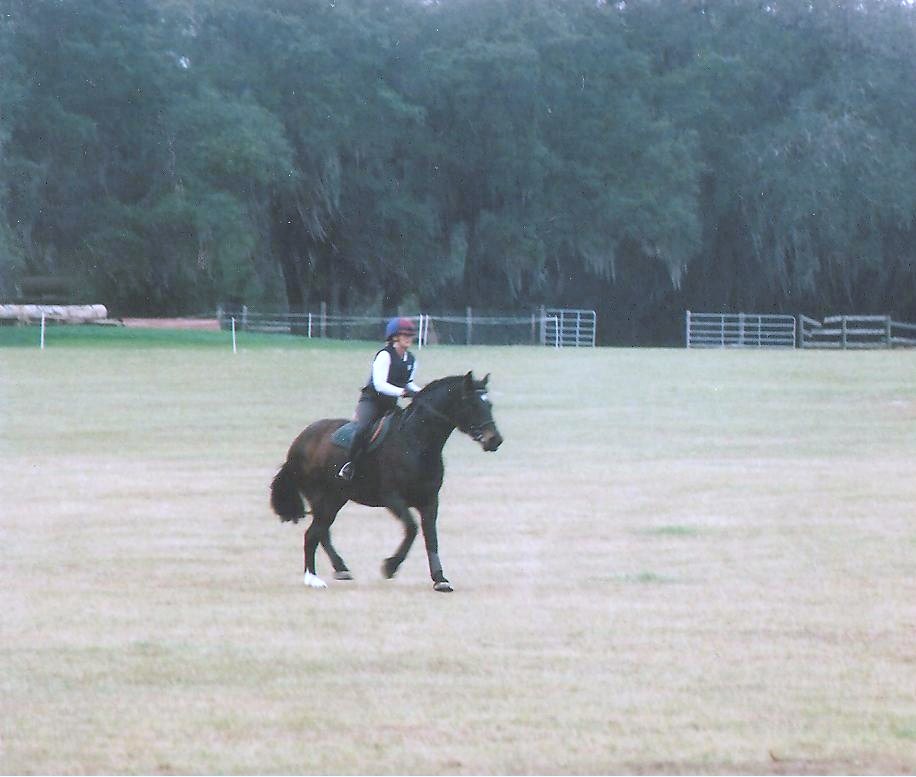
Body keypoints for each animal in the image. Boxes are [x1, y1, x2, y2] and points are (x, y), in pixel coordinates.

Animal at [269, 371, 503, 592]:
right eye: (472, 404)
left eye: (489, 404)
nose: (495, 440)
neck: (416, 442)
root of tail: (299, 441)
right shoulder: (393, 498)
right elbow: (412, 529)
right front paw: (390, 566)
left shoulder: (429, 501)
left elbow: (431, 538)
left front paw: (440, 579)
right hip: (322, 498)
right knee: (313, 534)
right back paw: (313, 578)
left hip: (335, 499)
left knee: (322, 533)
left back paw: (340, 569)